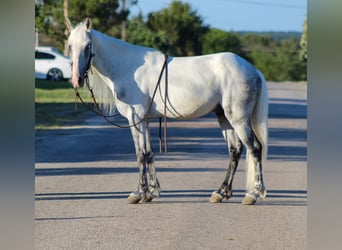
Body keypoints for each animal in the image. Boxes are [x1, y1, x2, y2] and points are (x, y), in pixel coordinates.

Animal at [67, 18, 268, 205]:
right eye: (70, 46)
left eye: (87, 45)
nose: (77, 79)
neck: (128, 68)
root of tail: (254, 70)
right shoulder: (145, 120)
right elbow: (148, 153)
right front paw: (151, 192)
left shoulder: (135, 119)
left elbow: (140, 154)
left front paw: (139, 193)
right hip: (224, 117)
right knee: (235, 150)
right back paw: (221, 192)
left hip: (238, 119)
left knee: (255, 148)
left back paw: (253, 194)